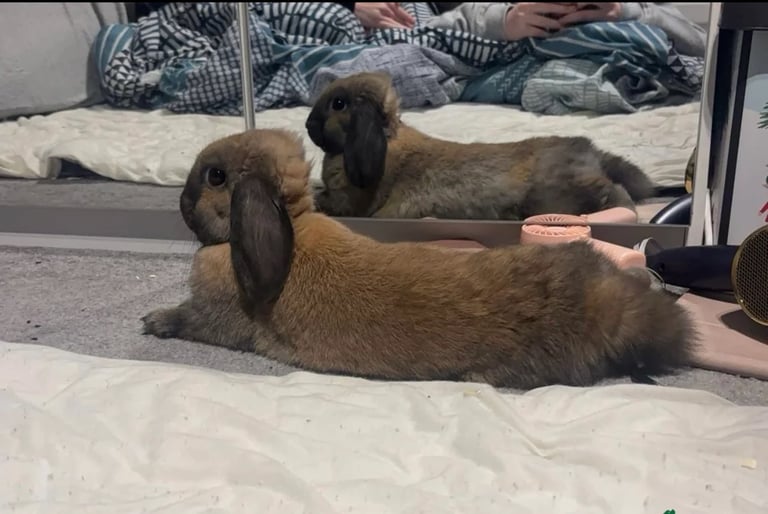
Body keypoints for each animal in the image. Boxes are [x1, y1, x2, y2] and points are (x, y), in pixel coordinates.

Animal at [142, 128, 697, 390]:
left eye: (215, 177)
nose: (181, 203)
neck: (292, 226)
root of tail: (609, 310)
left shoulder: (216, 317)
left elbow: (190, 320)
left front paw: (153, 321)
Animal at [305, 72, 656, 220]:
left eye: (338, 104)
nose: (308, 126)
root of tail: (590, 151)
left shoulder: (349, 203)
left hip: (559, 193)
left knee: (613, 192)